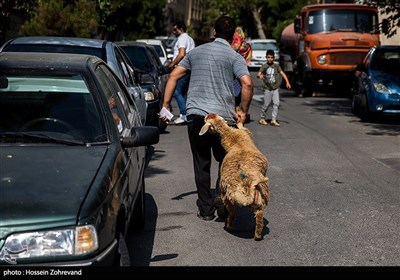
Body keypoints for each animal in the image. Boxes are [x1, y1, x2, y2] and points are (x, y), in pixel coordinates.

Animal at [199, 109, 270, 241]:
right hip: (245, 197)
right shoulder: (244, 132)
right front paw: (239, 117)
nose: (207, 114)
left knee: (251, 215)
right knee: (246, 215)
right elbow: (241, 126)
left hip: (236, 197)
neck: (232, 137)